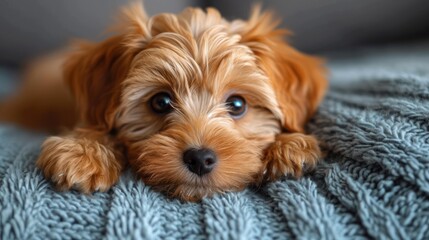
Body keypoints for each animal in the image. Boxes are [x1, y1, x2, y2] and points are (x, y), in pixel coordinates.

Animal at [0, 2, 326, 201]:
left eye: (237, 105)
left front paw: (288, 147)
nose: (200, 158)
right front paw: (82, 152)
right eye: (161, 102)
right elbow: (98, 127)